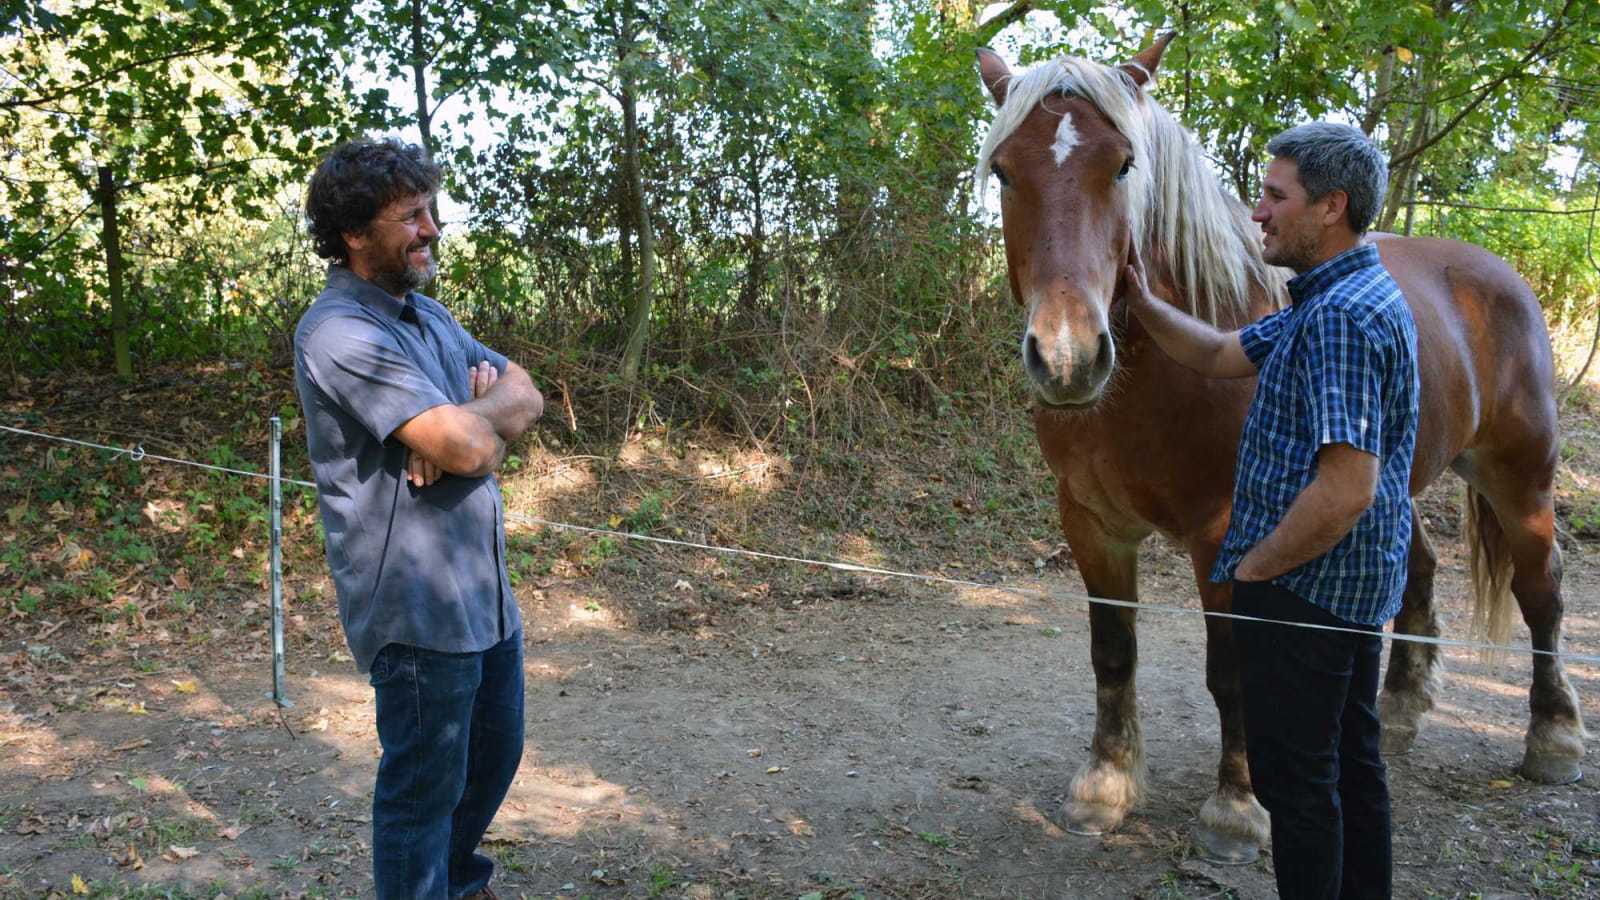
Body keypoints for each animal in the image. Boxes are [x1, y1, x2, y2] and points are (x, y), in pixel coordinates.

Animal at [972, 36, 1587, 864]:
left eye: (1125, 164)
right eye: (1006, 171)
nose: (1068, 357)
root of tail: (1494, 272)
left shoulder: (1229, 534)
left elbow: (1233, 667)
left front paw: (1237, 808)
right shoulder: (1092, 526)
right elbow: (1113, 652)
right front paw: (1105, 786)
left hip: (1521, 481)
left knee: (1541, 592)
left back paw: (1553, 737)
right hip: (1392, 483)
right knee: (1417, 571)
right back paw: (1400, 710)